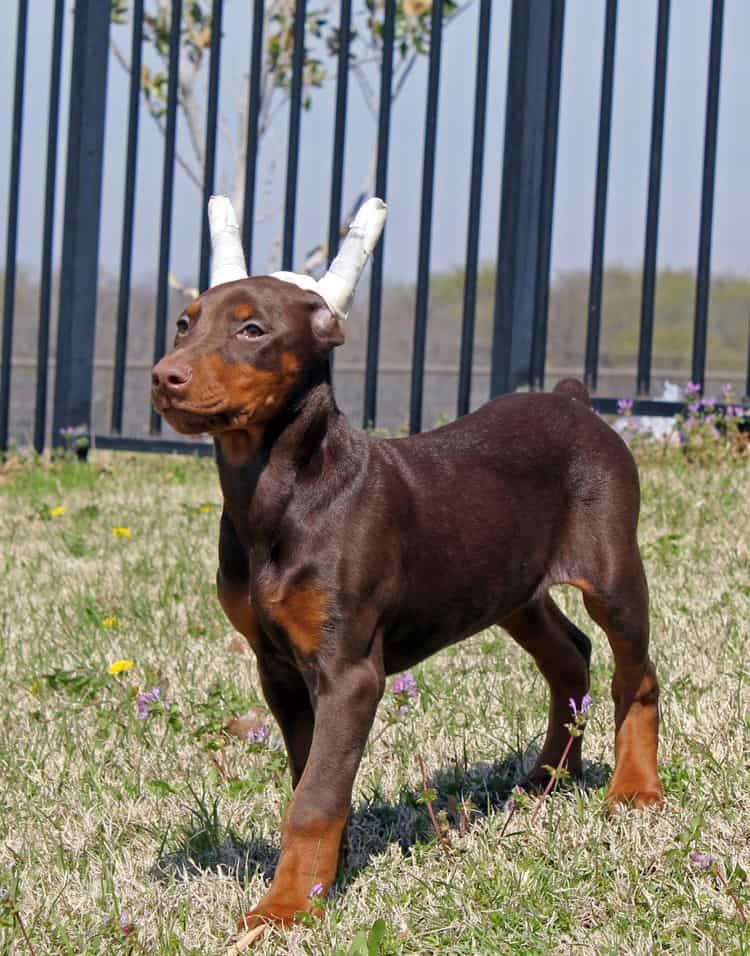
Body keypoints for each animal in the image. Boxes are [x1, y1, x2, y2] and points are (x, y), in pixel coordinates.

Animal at [153, 196, 664, 932]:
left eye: (252, 329)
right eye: (184, 324)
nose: (164, 377)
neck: (277, 490)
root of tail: (571, 398)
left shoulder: (348, 672)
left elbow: (314, 799)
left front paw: (285, 908)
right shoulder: (277, 665)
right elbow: (309, 775)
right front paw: (320, 879)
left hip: (612, 570)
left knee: (636, 672)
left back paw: (635, 789)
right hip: (509, 587)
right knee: (570, 655)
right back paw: (546, 779)